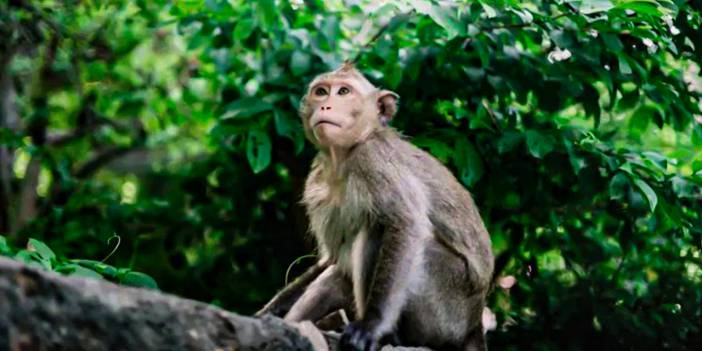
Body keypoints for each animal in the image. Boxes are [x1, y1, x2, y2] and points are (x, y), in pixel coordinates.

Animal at [258, 63, 496, 351]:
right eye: (321, 91)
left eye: (344, 91)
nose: (325, 105)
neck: (344, 158)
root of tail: (474, 324)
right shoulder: (316, 183)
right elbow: (331, 258)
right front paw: (268, 313)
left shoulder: (372, 159)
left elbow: (405, 224)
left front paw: (371, 326)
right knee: (338, 272)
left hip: (448, 308)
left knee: (379, 232)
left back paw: (389, 335)